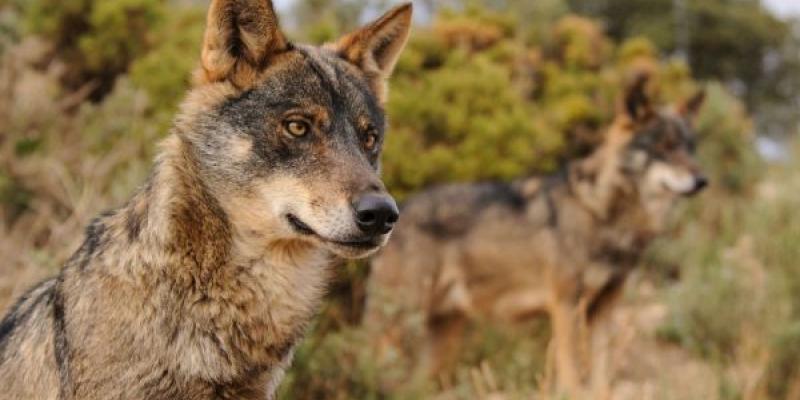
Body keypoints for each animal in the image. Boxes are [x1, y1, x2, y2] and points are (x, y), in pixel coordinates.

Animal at [365, 75, 706, 397]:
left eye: (689, 148)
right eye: (664, 147)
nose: (703, 180)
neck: (602, 212)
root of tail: (399, 210)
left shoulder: (605, 307)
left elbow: (601, 375)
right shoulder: (566, 304)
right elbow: (571, 372)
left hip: (441, 337)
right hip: (400, 324)